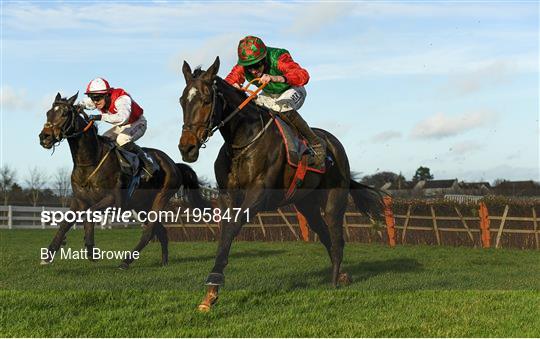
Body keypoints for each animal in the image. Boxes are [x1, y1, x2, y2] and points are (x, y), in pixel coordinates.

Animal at [39, 92, 208, 268]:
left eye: (64, 113)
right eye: (48, 113)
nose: (44, 137)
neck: (91, 161)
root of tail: (174, 164)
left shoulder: (113, 200)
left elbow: (90, 214)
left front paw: (91, 248)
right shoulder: (80, 200)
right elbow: (65, 224)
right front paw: (48, 255)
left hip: (161, 197)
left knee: (149, 231)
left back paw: (126, 261)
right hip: (141, 206)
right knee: (160, 231)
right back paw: (163, 261)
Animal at [178, 57, 384, 312]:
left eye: (206, 100)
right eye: (182, 101)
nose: (186, 148)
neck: (245, 140)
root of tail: (334, 144)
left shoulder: (258, 195)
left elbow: (232, 229)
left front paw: (214, 282)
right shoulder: (227, 197)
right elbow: (225, 234)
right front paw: (211, 293)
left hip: (334, 199)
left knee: (337, 238)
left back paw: (335, 281)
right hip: (307, 204)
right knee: (324, 234)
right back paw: (343, 275)